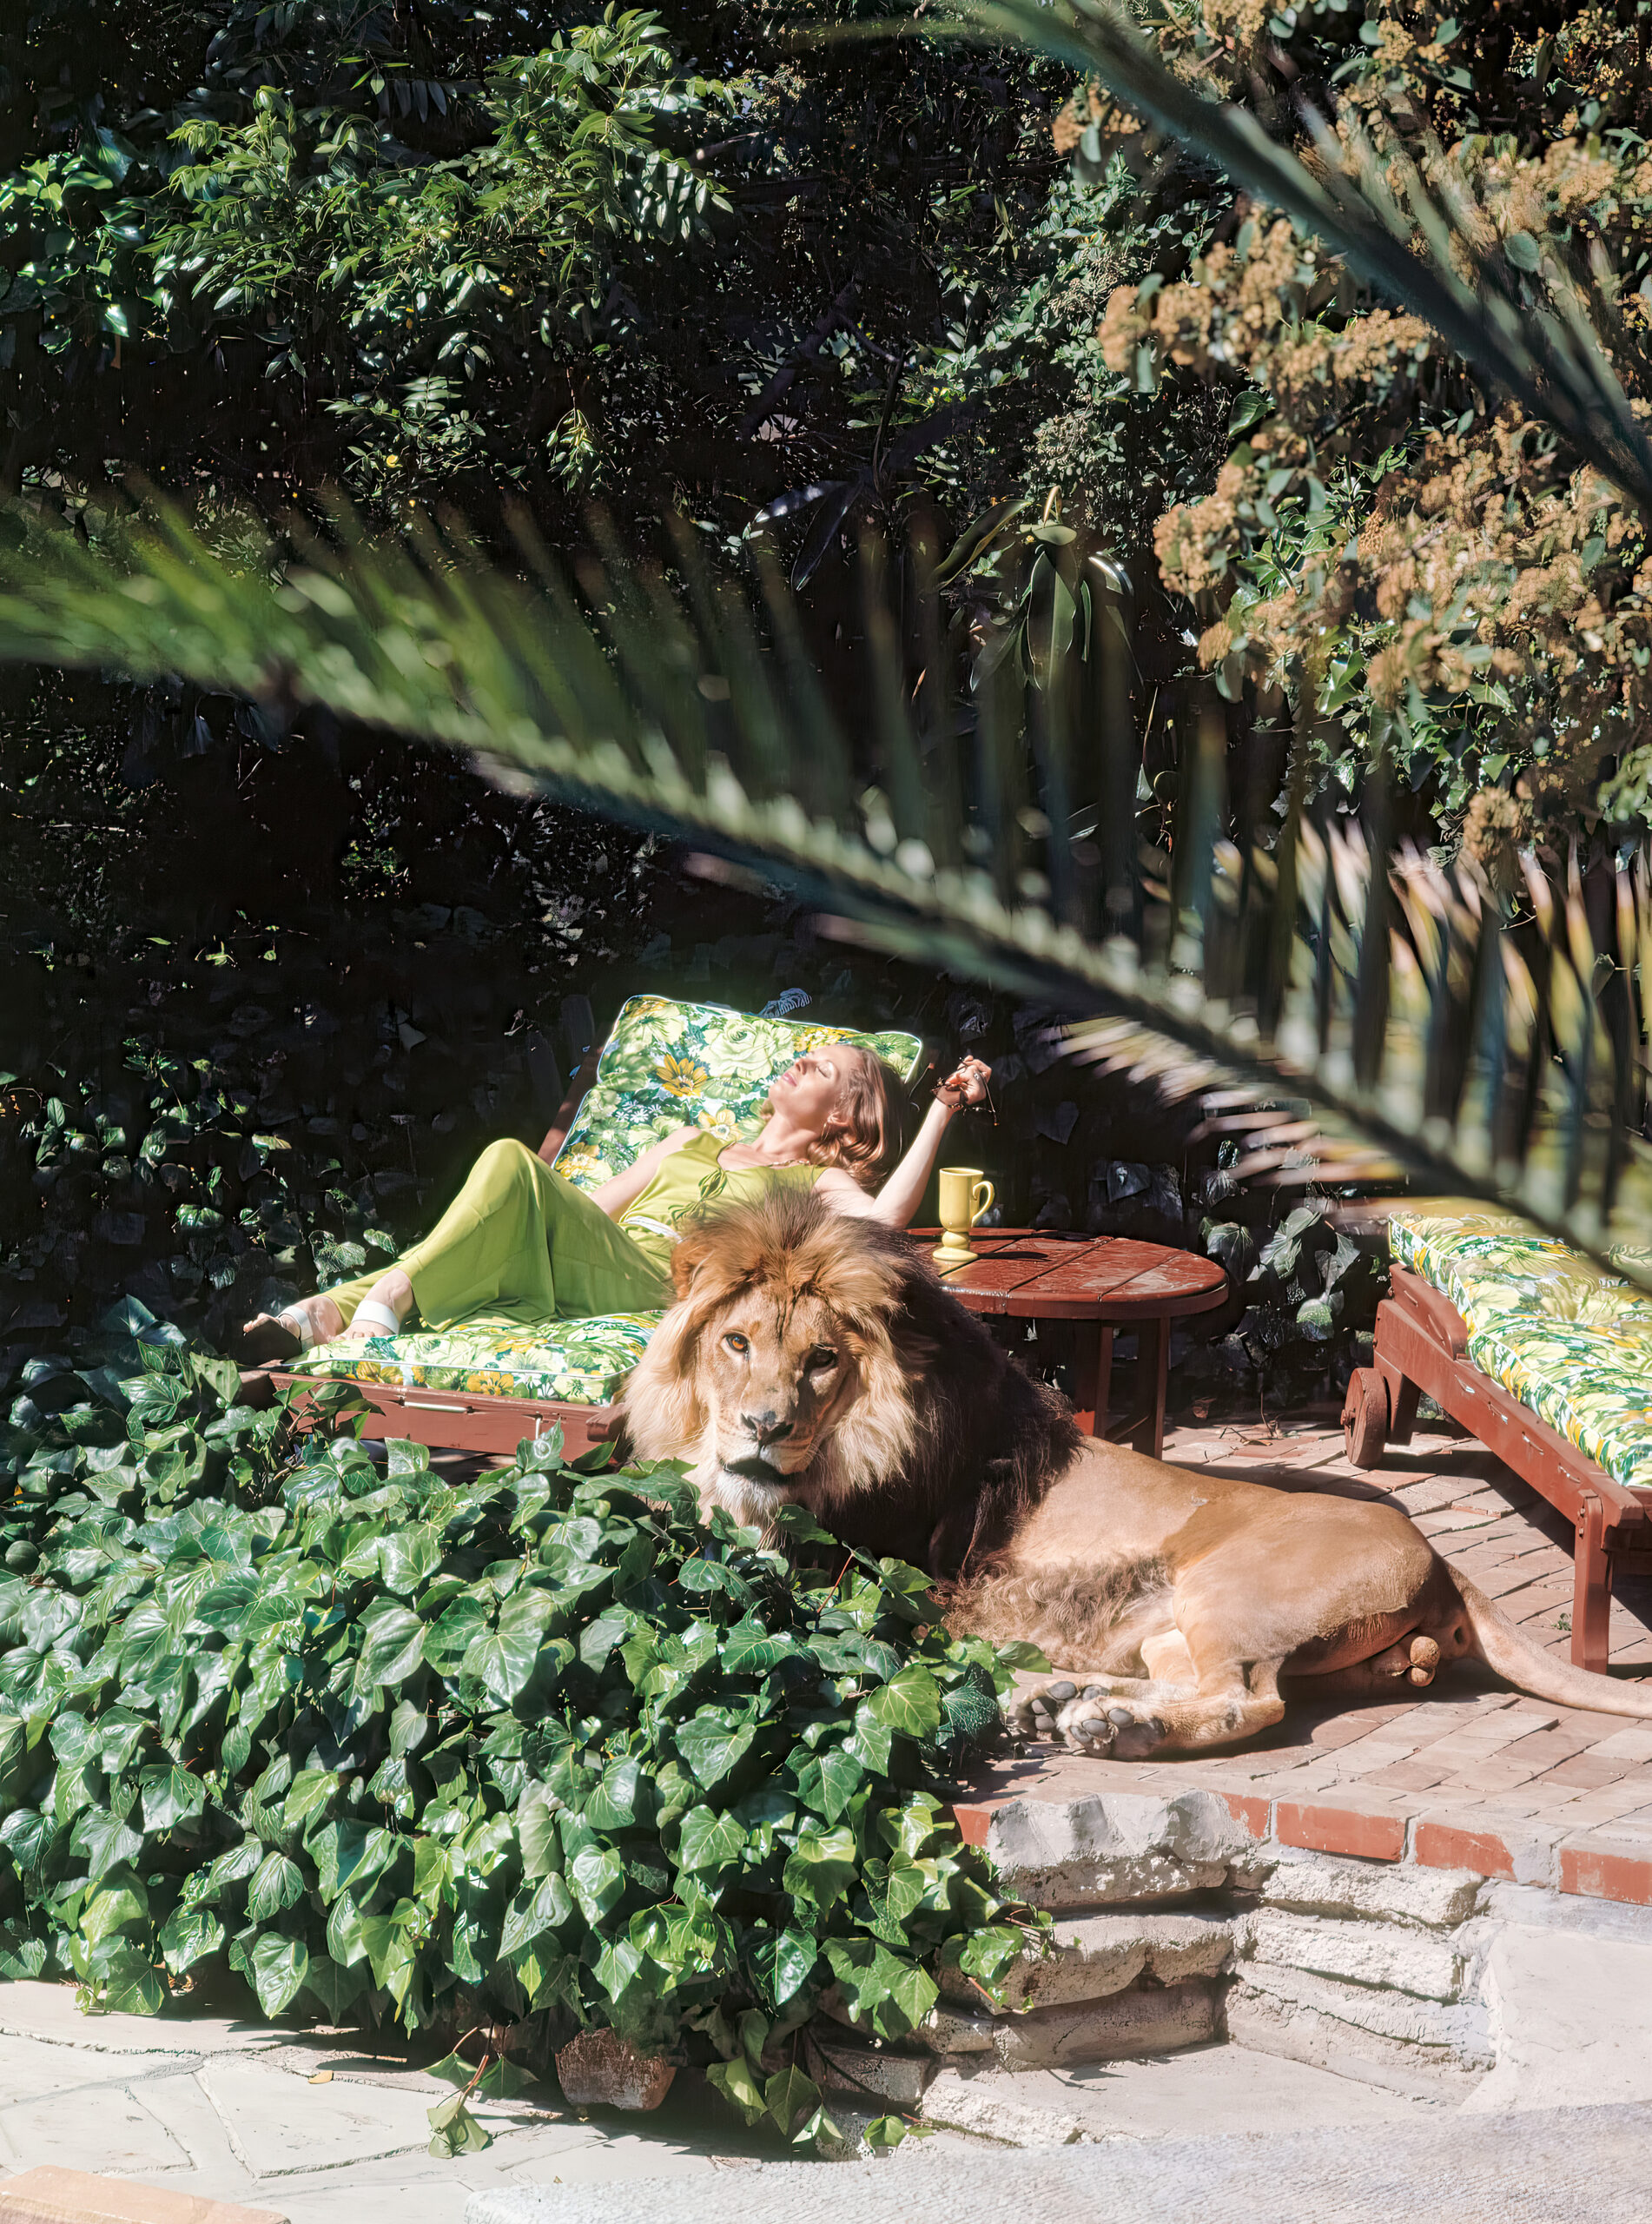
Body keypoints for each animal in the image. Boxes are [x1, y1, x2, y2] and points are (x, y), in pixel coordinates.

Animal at [613, 1192, 1652, 1761]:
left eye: (822, 1361)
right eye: (737, 1342)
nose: (763, 1428)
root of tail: (1438, 1555)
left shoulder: (866, 1584)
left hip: (1229, 1590)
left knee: (1250, 1698)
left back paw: (1109, 1729)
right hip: (1179, 1625)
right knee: (1203, 1680)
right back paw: (1058, 1705)